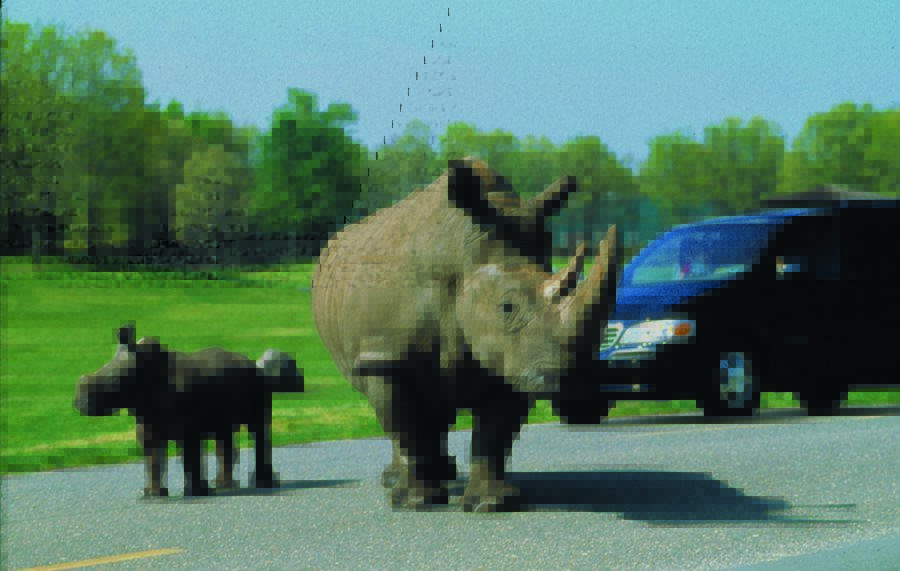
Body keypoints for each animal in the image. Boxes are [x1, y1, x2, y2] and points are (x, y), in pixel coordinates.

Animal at [74, 323, 304, 497]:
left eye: (112, 382)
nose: (78, 402)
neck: (143, 370)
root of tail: (256, 366)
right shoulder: (147, 421)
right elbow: (152, 458)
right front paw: (152, 494)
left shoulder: (189, 426)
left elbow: (190, 455)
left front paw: (196, 492)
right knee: (224, 433)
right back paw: (224, 485)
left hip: (257, 386)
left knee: (258, 429)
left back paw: (263, 483)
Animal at [312, 157, 618, 512]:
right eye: (507, 307)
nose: (575, 380)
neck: (462, 259)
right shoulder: (384, 355)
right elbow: (404, 425)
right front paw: (416, 502)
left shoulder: (513, 358)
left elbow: (495, 434)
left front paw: (493, 503)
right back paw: (398, 483)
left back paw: (442, 474)